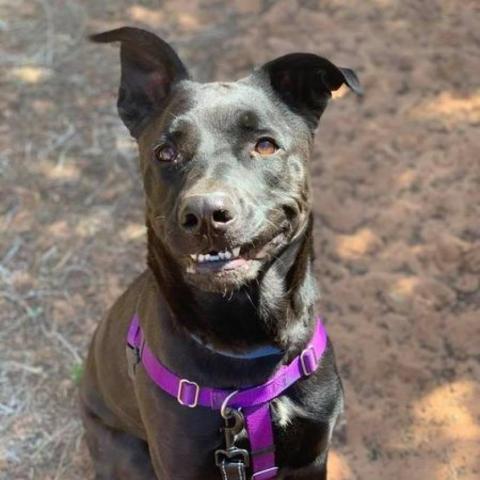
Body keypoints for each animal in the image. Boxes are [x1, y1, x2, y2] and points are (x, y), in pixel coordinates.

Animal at [80, 27, 362, 480]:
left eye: (265, 146)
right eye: (165, 153)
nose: (206, 215)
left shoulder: (313, 453)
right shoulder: (182, 462)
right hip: (126, 454)